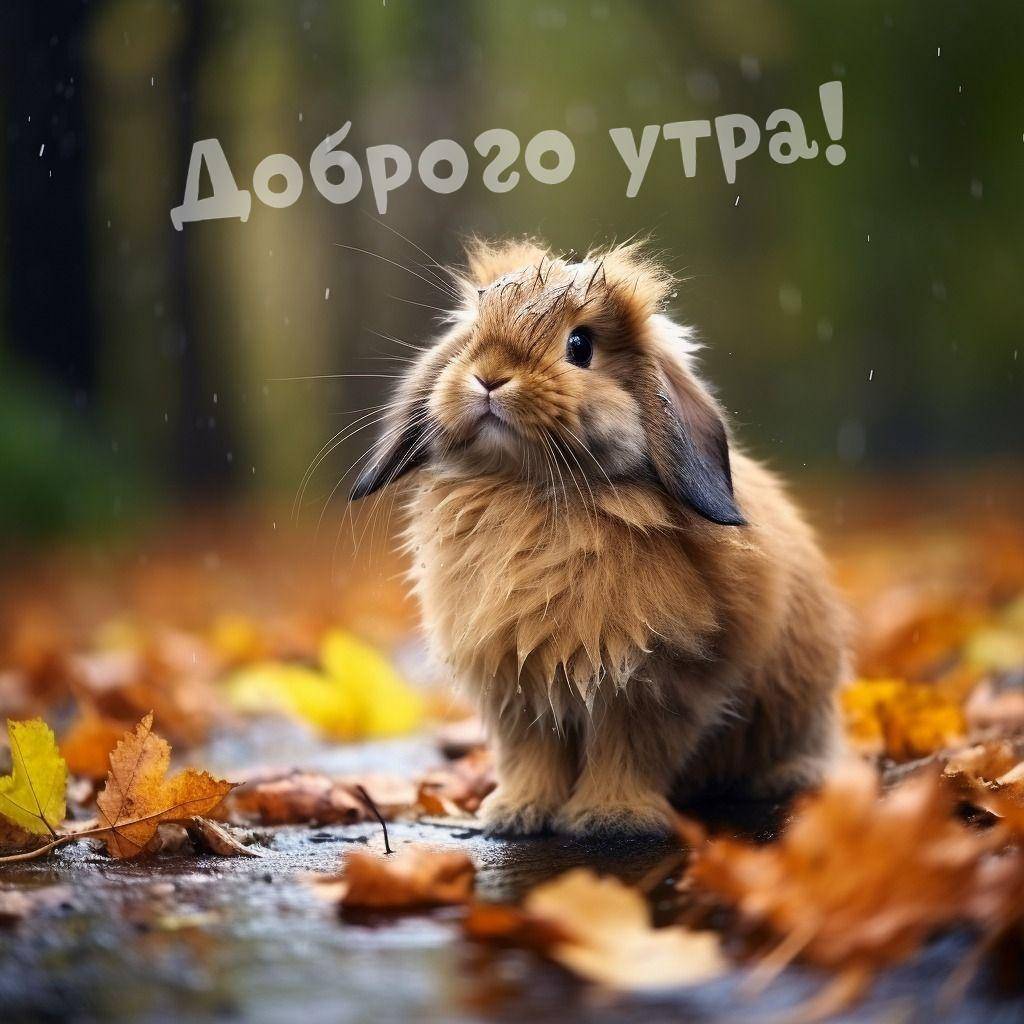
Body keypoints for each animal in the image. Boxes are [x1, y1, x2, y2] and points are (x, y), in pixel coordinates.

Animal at [351, 238, 847, 835]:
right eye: (474, 332)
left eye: (580, 346)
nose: (489, 377)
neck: (531, 489)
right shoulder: (520, 686)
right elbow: (532, 754)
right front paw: (517, 812)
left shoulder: (651, 684)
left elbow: (628, 751)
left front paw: (612, 820)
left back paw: (788, 779)